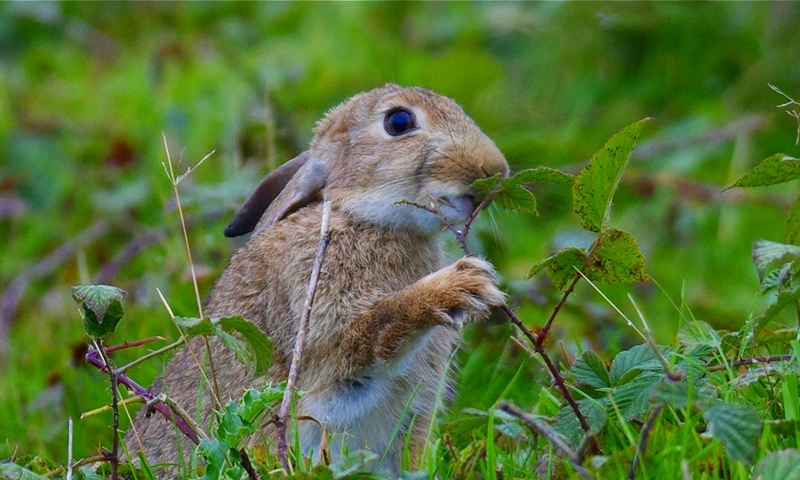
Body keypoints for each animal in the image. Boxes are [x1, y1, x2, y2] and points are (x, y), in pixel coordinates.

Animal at [124, 84, 509, 476]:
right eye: (399, 122)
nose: (495, 169)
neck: (362, 216)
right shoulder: (324, 333)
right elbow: (378, 329)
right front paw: (463, 285)